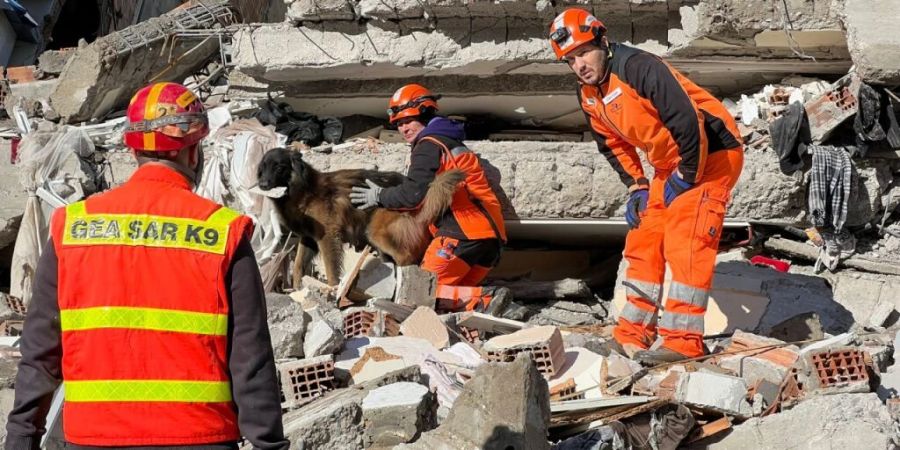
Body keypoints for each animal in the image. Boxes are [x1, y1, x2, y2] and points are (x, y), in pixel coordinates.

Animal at [255, 148, 460, 288]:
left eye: (279, 167)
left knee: (406, 257)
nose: (262, 184)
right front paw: (297, 290)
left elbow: (331, 268)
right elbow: (298, 266)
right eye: (263, 167)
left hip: (378, 232)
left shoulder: (328, 236)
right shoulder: (308, 238)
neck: (304, 190)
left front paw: (332, 290)